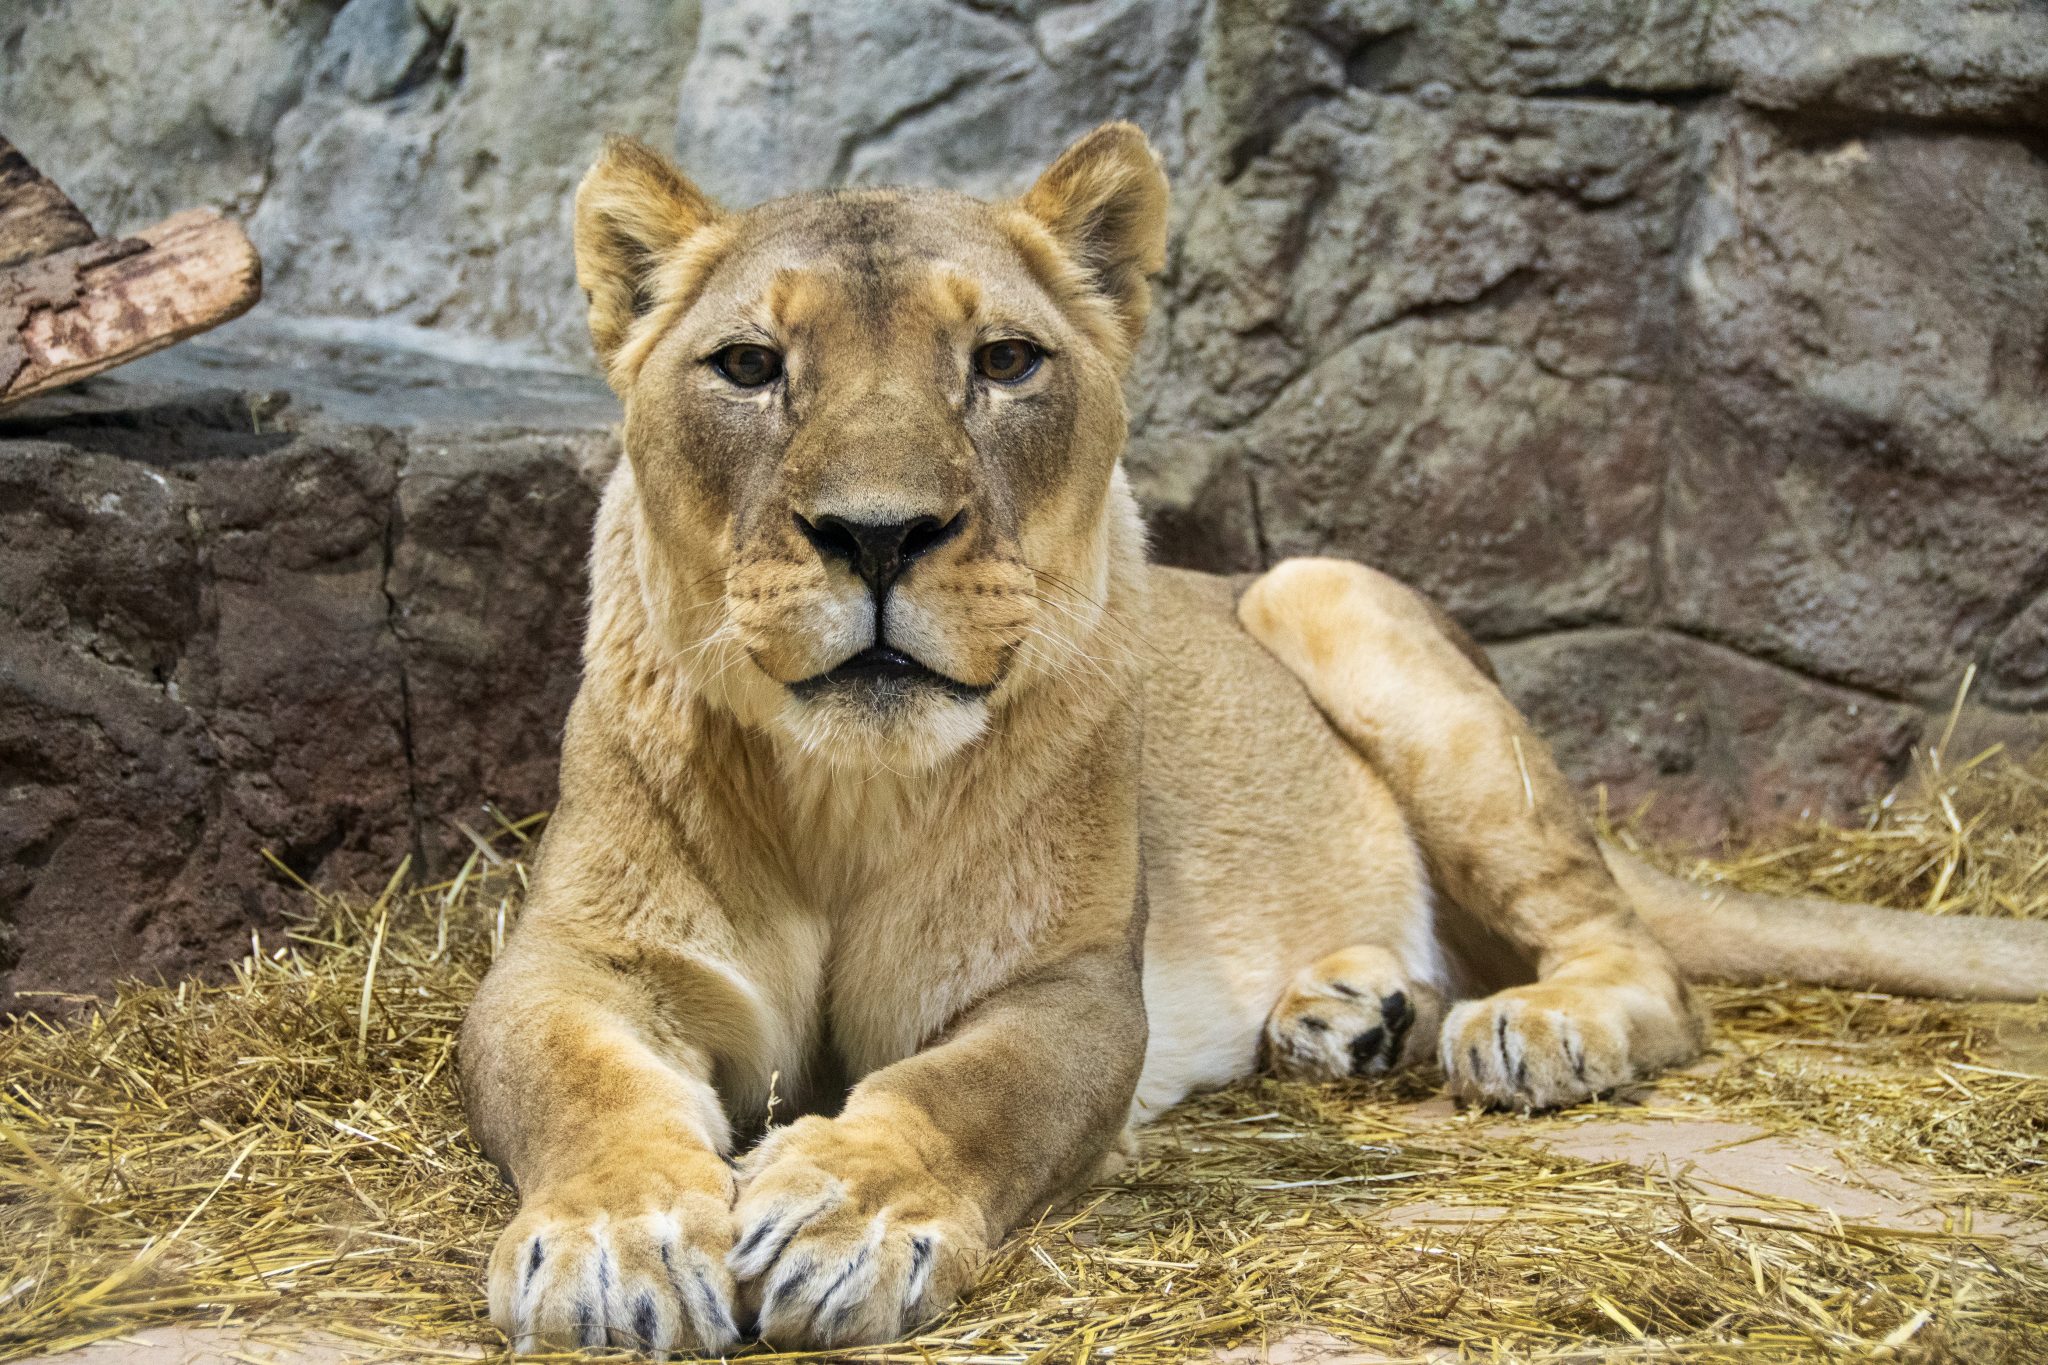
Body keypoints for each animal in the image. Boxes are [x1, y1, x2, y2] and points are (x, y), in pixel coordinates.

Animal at [458, 122, 2048, 1355]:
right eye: (746, 366)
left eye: (1004, 361)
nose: (878, 534)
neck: (846, 792)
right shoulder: (577, 962)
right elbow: (582, 1089)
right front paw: (613, 1247)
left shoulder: (1070, 989)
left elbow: (967, 1093)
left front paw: (842, 1211)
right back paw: (1351, 1014)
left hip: (1324, 593)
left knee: (1641, 960)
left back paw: (1536, 1028)